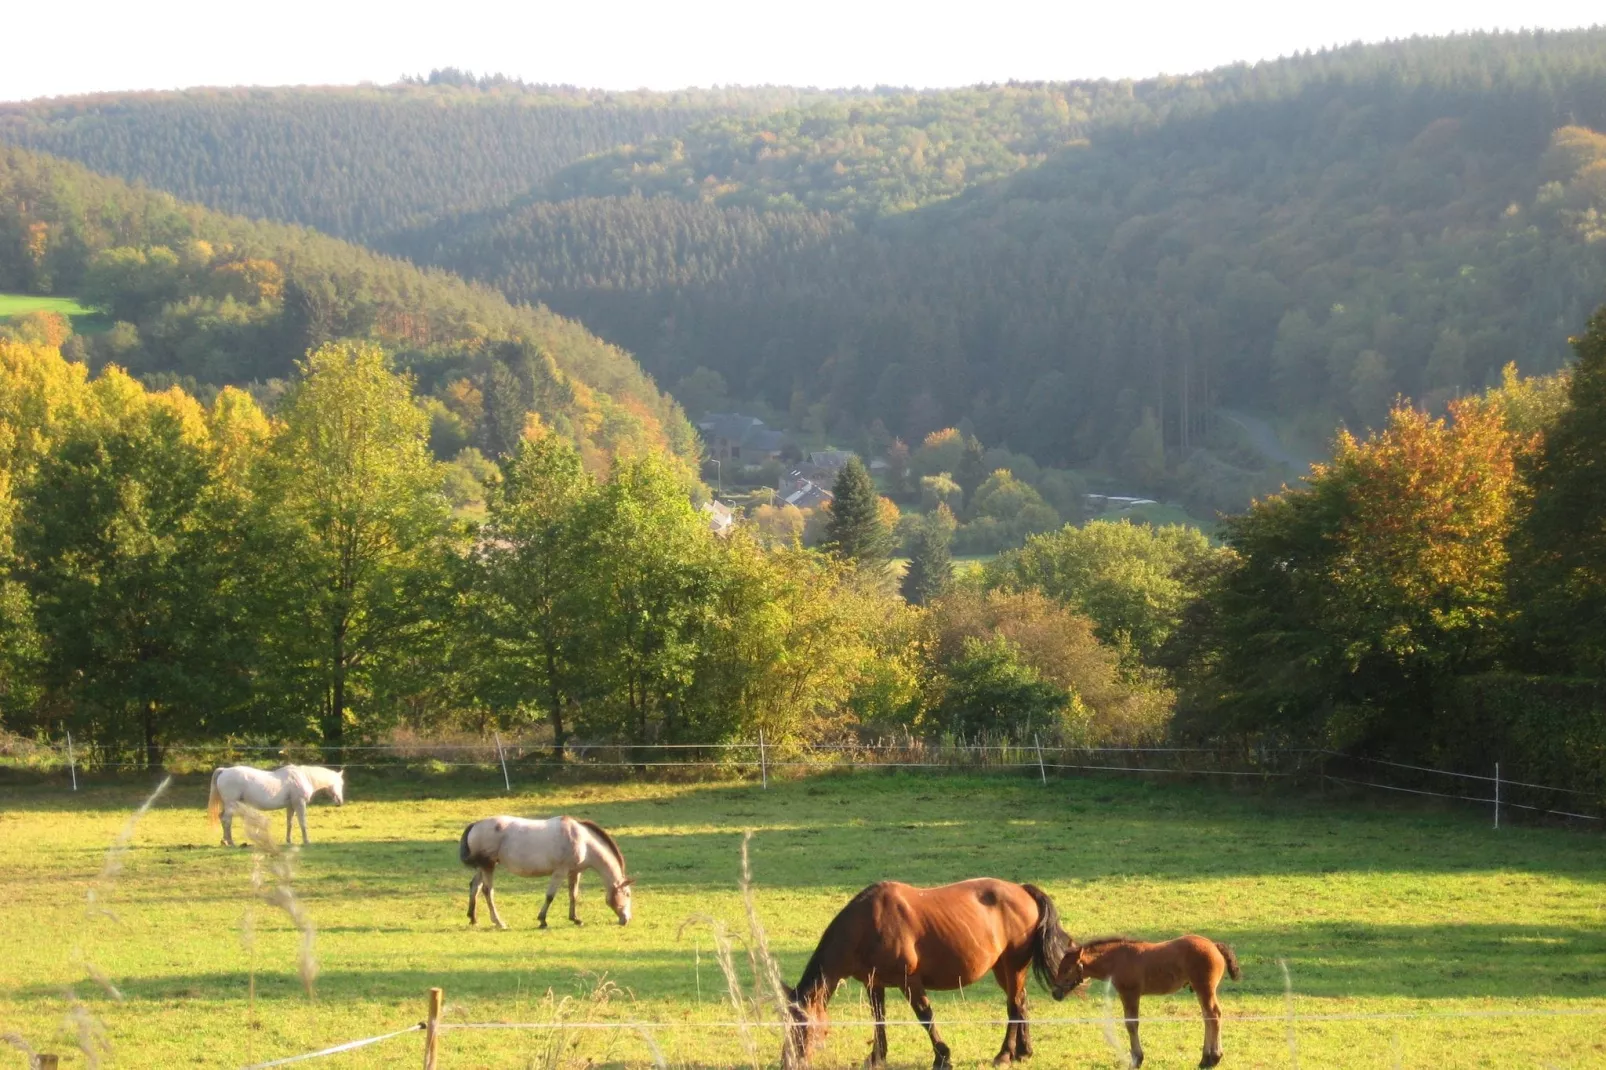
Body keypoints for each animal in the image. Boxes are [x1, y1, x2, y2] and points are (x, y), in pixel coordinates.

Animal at [207, 761, 345, 848]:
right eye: (340, 783)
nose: (340, 801)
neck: (304, 777)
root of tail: (224, 771)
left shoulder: (291, 806)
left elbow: (290, 823)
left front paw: (289, 841)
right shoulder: (299, 803)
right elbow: (302, 823)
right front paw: (306, 841)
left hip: (227, 804)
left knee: (222, 818)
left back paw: (224, 841)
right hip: (231, 804)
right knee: (227, 821)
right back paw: (231, 842)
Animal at [459, 816, 632, 925]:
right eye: (628, 894)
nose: (626, 919)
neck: (583, 840)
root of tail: (476, 824)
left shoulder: (574, 872)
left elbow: (573, 895)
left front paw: (575, 918)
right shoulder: (560, 872)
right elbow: (550, 896)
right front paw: (542, 920)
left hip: (483, 867)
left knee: (474, 886)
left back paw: (473, 918)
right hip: (488, 866)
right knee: (487, 891)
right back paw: (498, 922)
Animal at [780, 873, 1072, 1066]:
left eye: (802, 1027)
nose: (787, 1063)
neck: (868, 924)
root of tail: (1023, 890)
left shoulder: (909, 981)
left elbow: (925, 1016)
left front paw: (942, 1056)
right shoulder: (874, 983)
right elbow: (879, 1019)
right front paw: (877, 1057)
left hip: (1011, 967)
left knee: (1014, 1006)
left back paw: (1004, 1055)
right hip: (1005, 969)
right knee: (1020, 1002)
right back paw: (1023, 1051)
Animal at [1053, 931, 1239, 1060]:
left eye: (1067, 969)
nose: (1055, 993)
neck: (1118, 959)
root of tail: (1214, 945)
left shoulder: (1130, 994)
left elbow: (1131, 1024)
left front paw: (1137, 1057)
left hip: (1205, 988)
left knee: (1214, 1014)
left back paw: (1213, 1057)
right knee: (1208, 1016)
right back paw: (1206, 1058)